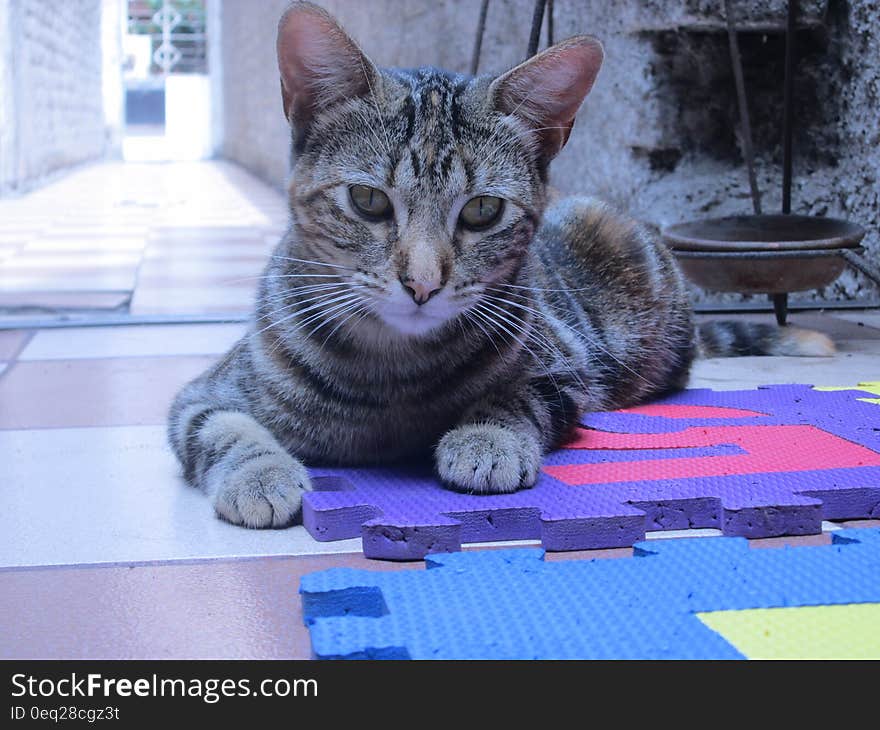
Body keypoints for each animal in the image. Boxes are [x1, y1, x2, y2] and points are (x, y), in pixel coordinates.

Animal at [167, 0, 832, 524]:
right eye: (368, 200)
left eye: (483, 210)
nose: (422, 283)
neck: (388, 373)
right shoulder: (203, 395)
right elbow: (222, 428)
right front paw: (259, 474)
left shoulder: (566, 370)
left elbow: (520, 396)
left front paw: (486, 437)